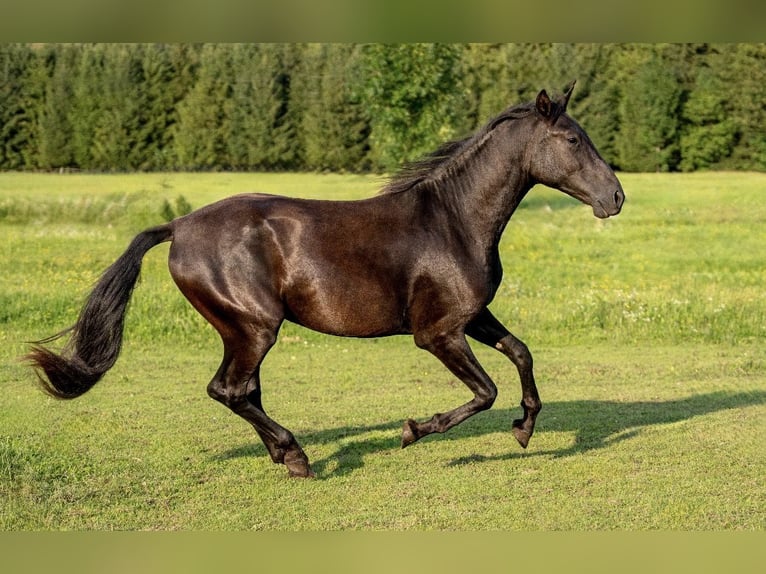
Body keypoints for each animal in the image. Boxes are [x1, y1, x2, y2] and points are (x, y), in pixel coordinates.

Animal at [25, 82, 624, 478]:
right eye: (572, 140)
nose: (616, 198)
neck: (452, 220)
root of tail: (178, 226)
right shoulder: (437, 333)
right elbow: (484, 391)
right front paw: (413, 431)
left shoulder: (471, 316)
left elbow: (521, 353)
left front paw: (524, 427)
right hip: (254, 328)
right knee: (228, 389)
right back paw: (297, 456)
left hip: (242, 332)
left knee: (243, 391)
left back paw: (285, 455)